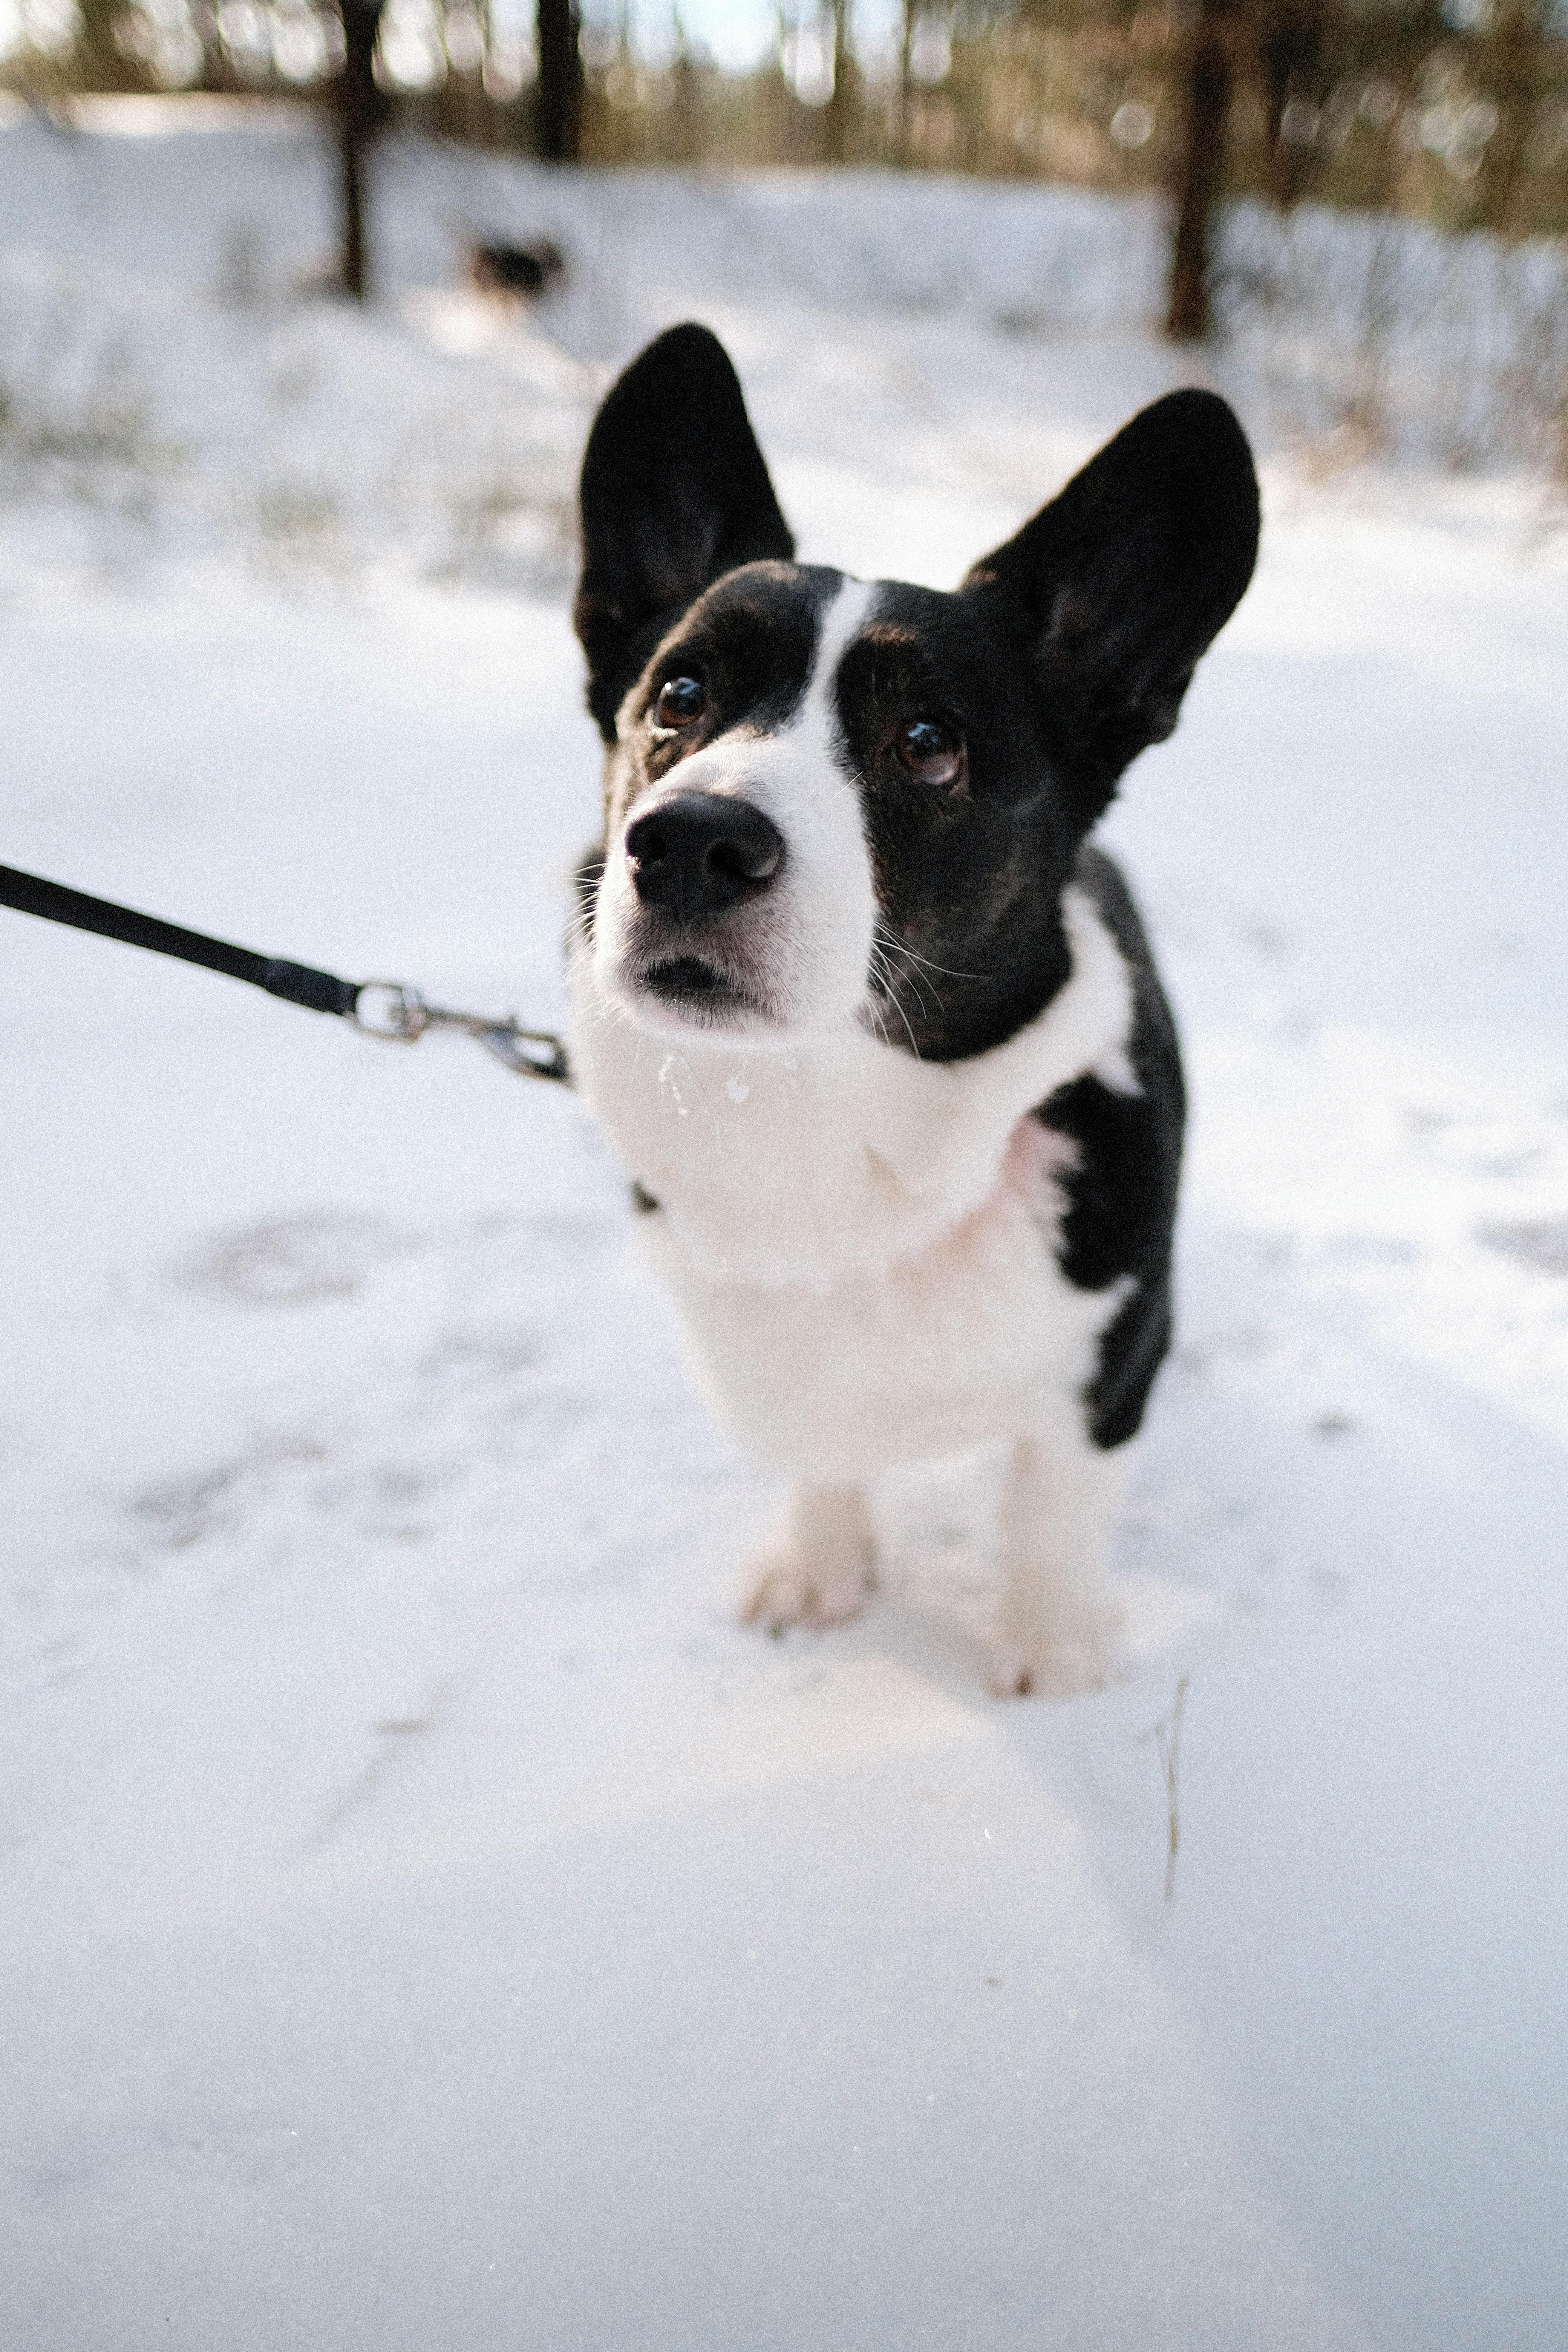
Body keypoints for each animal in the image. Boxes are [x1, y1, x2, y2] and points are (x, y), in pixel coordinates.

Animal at [564, 331, 1260, 1693]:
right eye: (679, 695)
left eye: (929, 740)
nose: (687, 844)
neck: (828, 1111)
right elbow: (819, 1453)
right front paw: (818, 1572)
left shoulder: (1105, 1371)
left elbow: (1054, 1502)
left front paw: (1050, 1646)